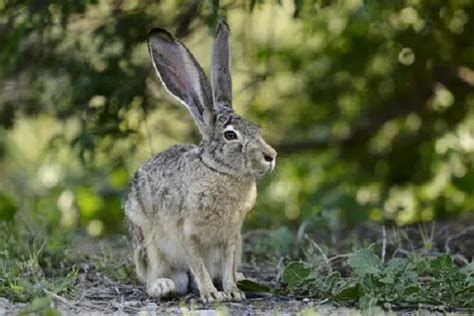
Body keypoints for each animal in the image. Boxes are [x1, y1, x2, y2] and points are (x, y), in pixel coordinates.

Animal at [123, 20, 278, 304]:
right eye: (230, 135)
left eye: (257, 128)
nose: (270, 156)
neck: (221, 172)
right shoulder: (188, 233)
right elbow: (197, 264)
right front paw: (211, 295)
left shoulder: (232, 237)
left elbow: (226, 265)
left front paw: (232, 291)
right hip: (147, 242)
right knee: (154, 275)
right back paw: (163, 287)